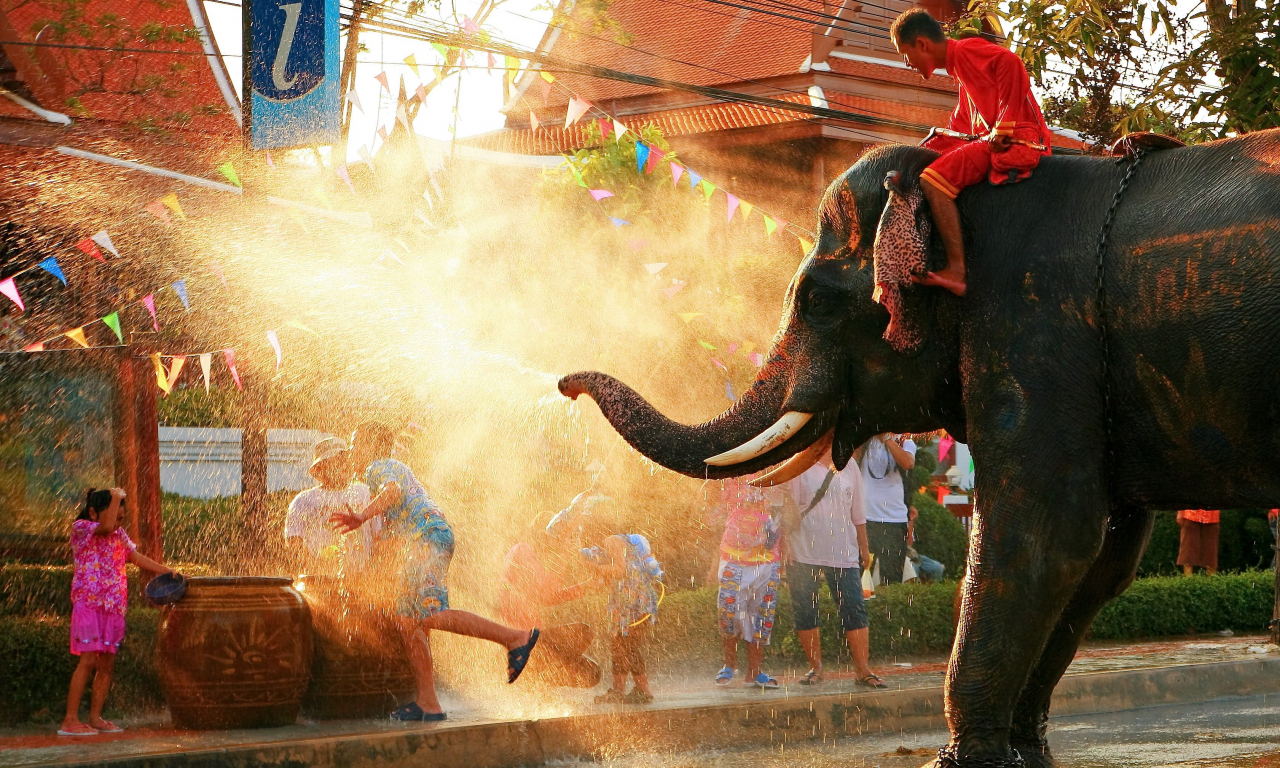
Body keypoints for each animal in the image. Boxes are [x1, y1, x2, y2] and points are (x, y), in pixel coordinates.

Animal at [563, 131, 1280, 768]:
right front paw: (1023, 756)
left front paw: (965, 761)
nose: (566, 383)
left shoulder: (1034, 334)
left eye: (817, 301)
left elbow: (1044, 538)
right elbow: (1104, 558)